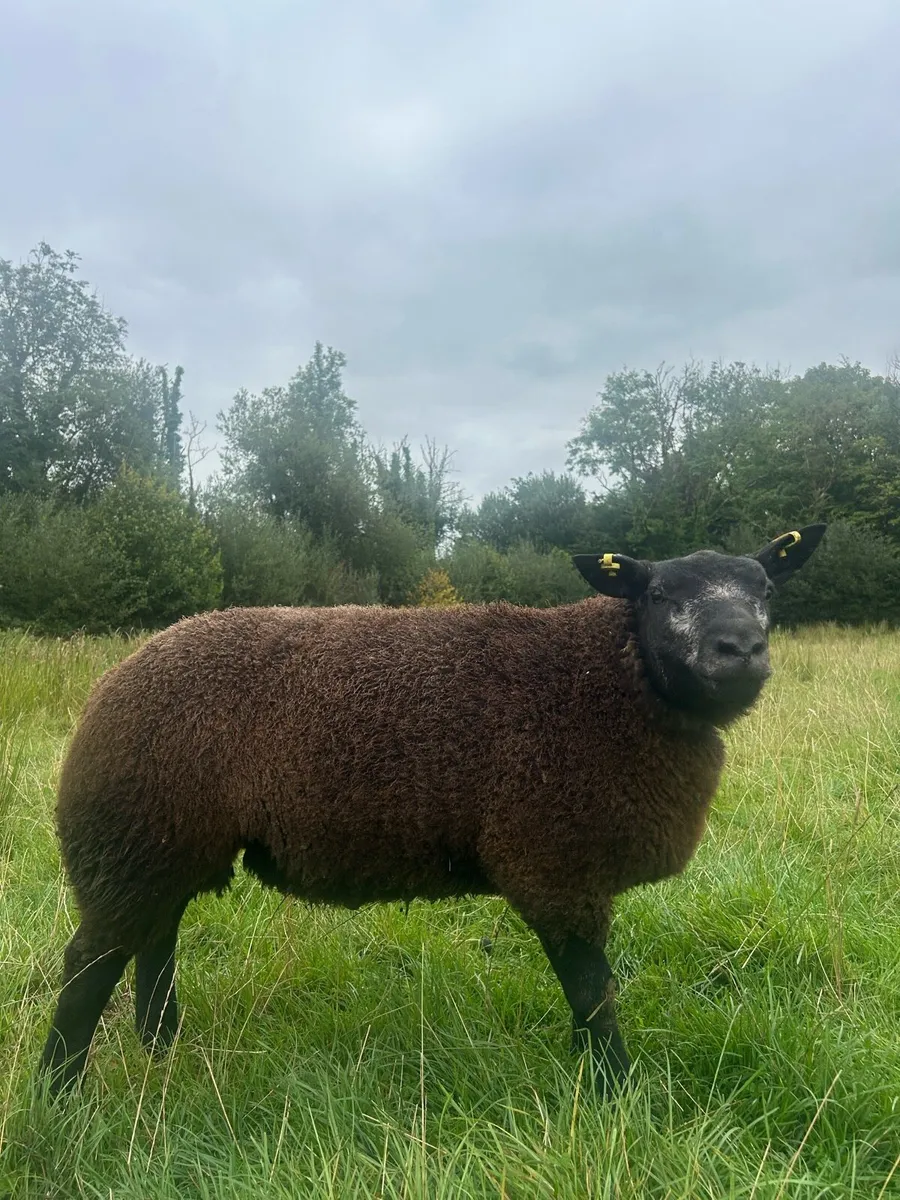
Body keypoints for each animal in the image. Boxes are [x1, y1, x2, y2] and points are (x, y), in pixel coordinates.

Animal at [38, 523, 826, 1100]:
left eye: (765, 588)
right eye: (658, 593)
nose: (739, 649)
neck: (611, 679)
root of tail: (116, 678)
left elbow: (587, 996)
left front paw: (589, 1077)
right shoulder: (555, 864)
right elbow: (593, 991)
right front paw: (617, 1095)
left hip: (165, 841)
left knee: (156, 941)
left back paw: (159, 1048)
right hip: (128, 832)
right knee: (89, 965)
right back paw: (58, 1098)